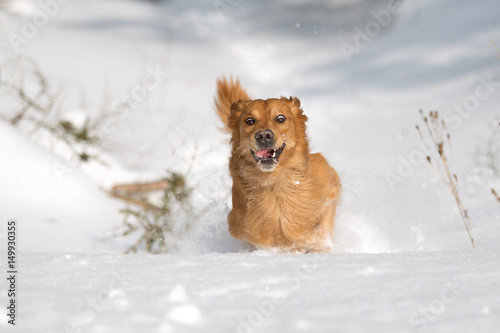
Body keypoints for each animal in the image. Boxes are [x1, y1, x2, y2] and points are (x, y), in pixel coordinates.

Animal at [213, 77, 342, 252]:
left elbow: (321, 227)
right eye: (249, 121)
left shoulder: (330, 184)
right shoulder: (239, 226)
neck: (274, 185)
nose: (263, 135)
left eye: (280, 118)